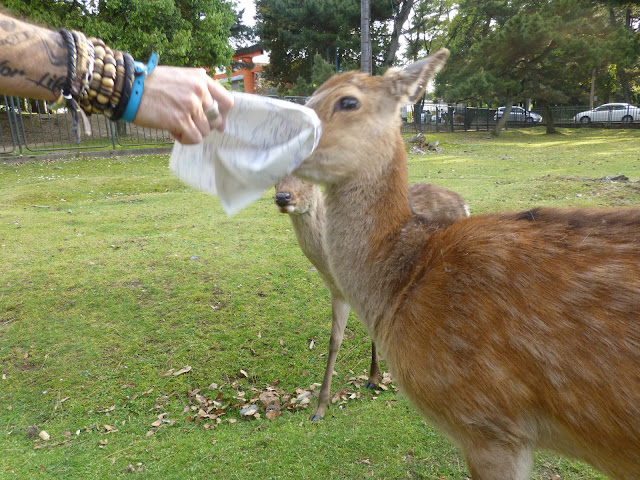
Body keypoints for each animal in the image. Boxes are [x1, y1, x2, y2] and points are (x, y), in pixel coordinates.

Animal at [272, 175, 468, 420]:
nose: (282, 197)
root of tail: (464, 204)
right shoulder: (340, 291)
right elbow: (342, 338)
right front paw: (372, 379)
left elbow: (336, 341)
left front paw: (319, 408)